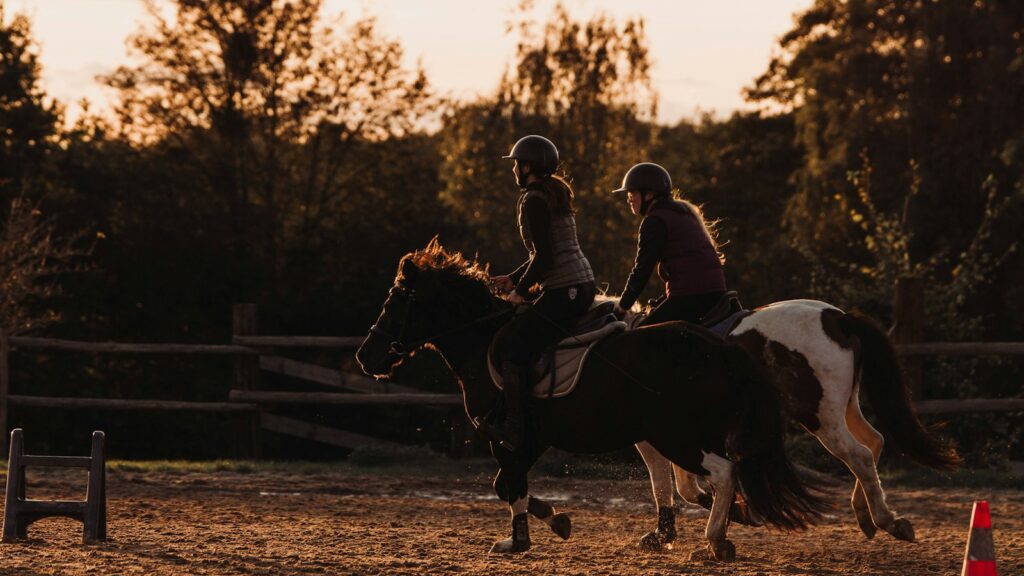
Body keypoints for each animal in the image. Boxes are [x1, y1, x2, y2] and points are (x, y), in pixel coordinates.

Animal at [355, 241, 832, 561]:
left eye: (394, 301)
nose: (366, 355)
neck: (484, 339)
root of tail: (717, 345)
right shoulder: (532, 441)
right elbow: (508, 485)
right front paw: (556, 520)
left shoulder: (509, 438)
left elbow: (507, 484)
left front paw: (519, 539)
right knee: (714, 477)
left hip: (677, 432)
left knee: (723, 472)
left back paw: (715, 540)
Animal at [613, 296, 961, 550]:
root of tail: (839, 319)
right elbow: (686, 485)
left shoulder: (659, 438)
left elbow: (668, 483)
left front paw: (667, 533)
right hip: (844, 409)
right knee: (874, 442)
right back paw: (865, 514)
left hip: (820, 418)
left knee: (859, 455)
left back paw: (887, 520)